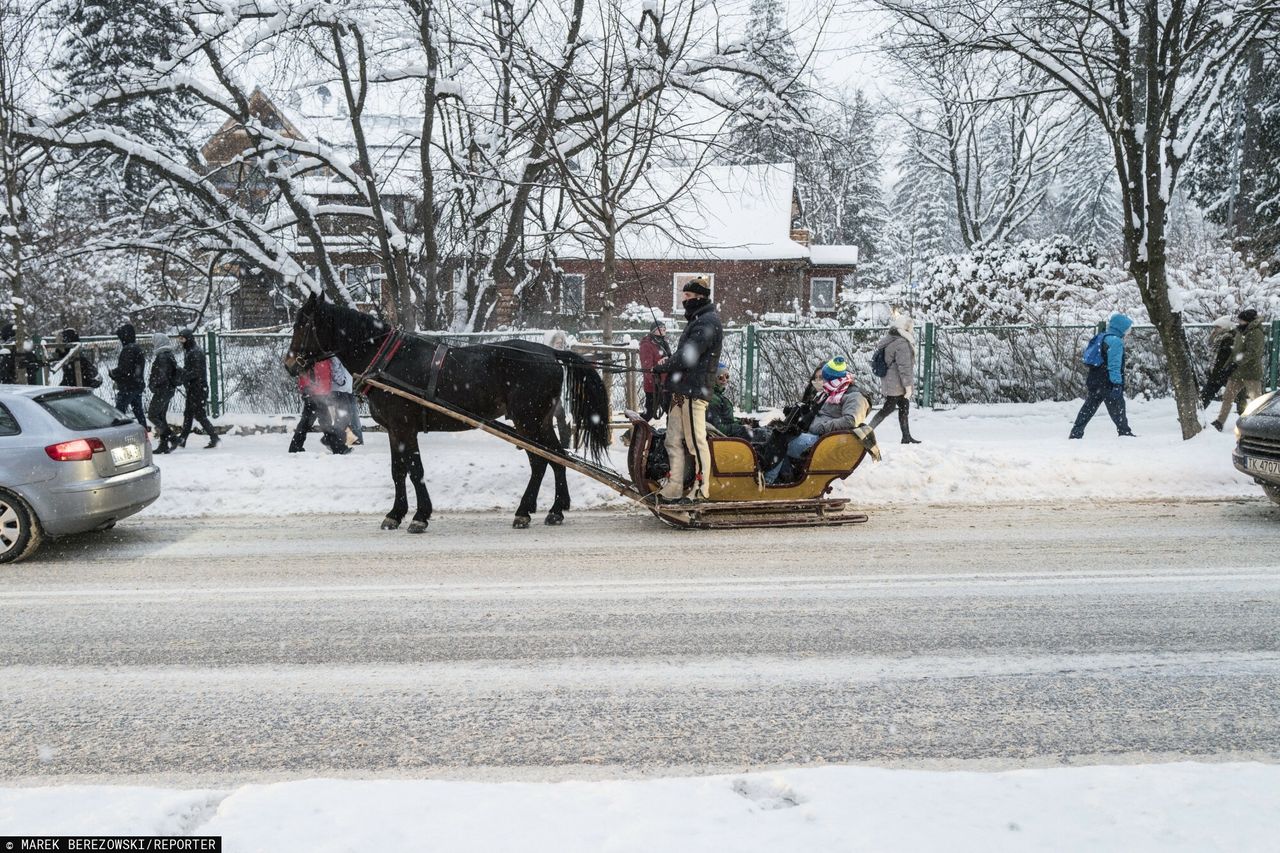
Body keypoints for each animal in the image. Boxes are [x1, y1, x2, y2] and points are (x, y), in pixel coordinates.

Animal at [284, 295, 609, 527]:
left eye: (302, 325)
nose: (289, 364)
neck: (386, 357)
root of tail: (551, 353)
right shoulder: (394, 430)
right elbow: (398, 471)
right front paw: (396, 514)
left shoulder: (404, 426)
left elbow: (415, 470)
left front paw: (419, 516)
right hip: (539, 420)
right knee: (557, 457)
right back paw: (555, 509)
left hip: (527, 420)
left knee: (542, 461)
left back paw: (525, 511)